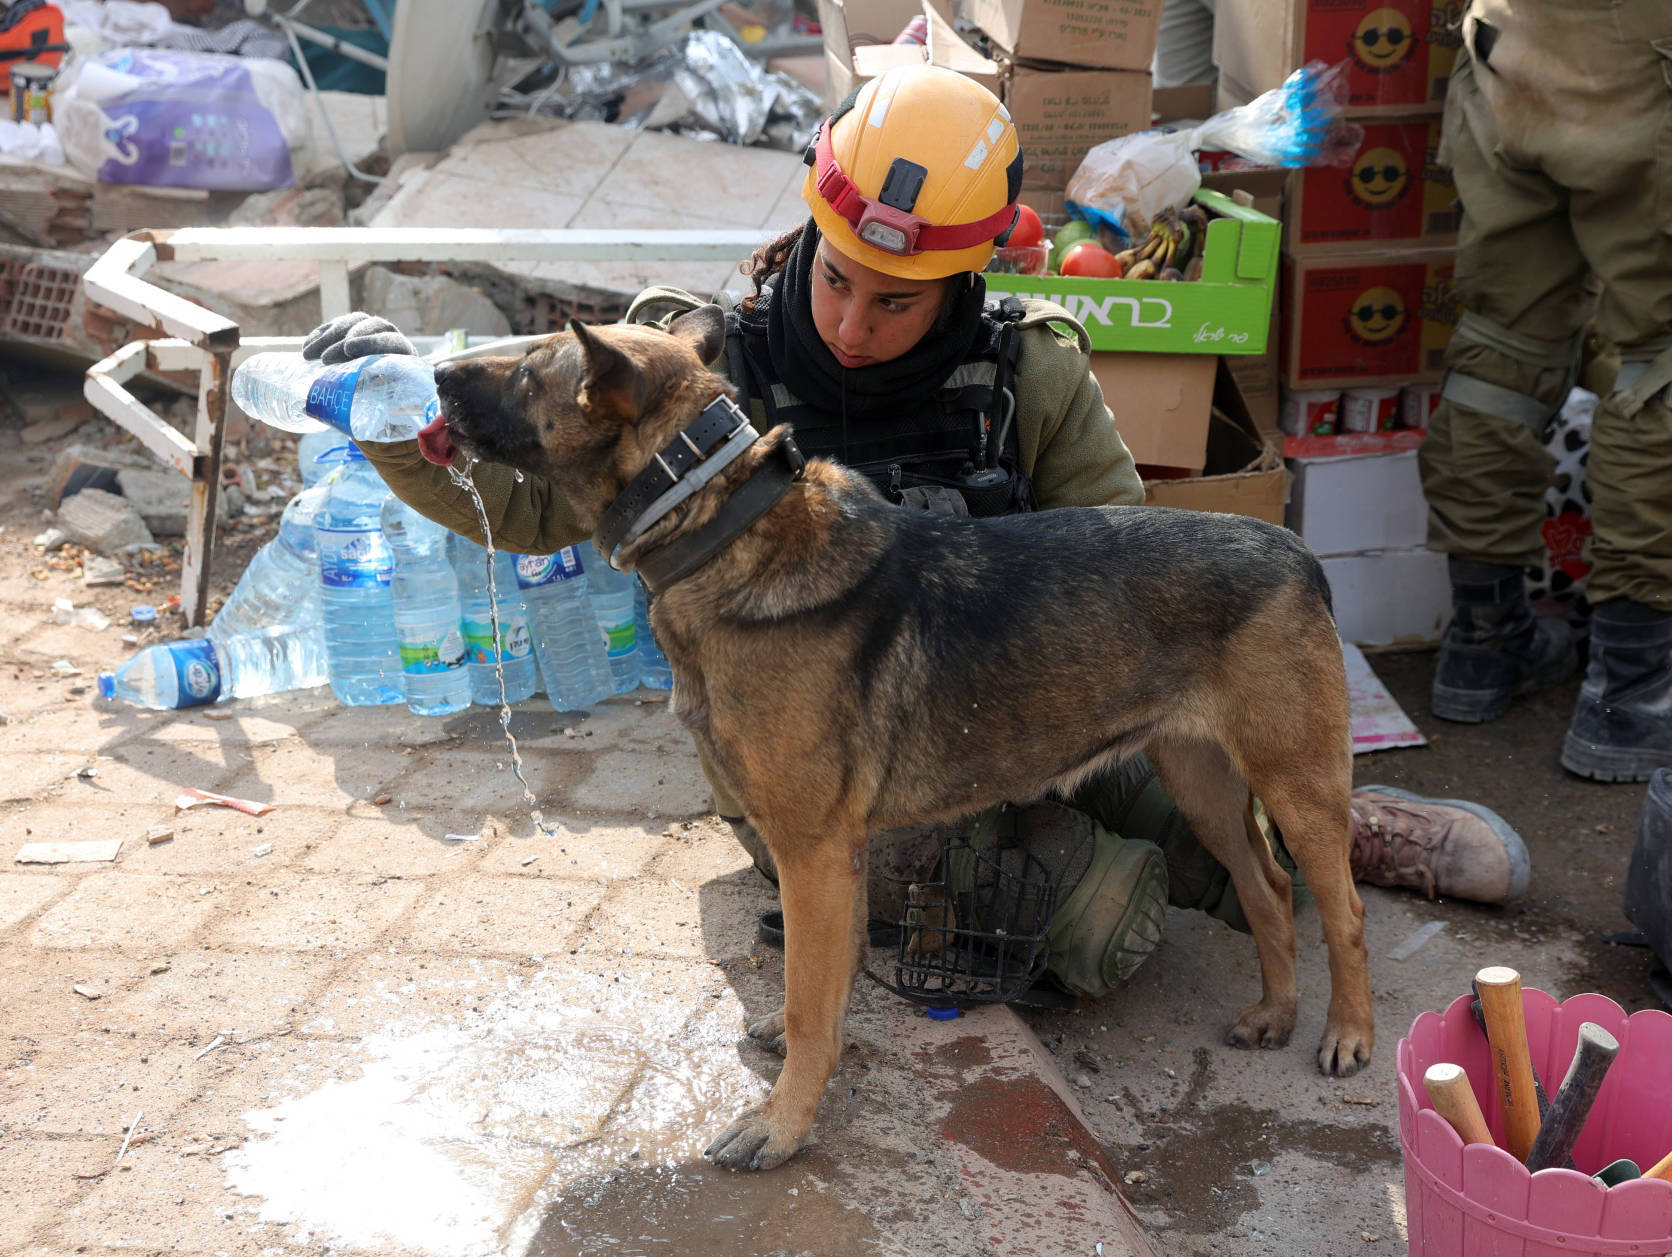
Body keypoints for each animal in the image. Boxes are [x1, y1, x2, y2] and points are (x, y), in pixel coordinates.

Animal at [428, 304, 1371, 1170]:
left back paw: (1348, 1033)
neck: (718, 517)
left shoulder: (812, 851)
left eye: (528, 370)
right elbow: (829, 977)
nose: (432, 376)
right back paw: (1277, 1011)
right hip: (1202, 779)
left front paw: (782, 1123)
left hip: (1300, 788)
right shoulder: (834, 857)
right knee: (1266, 885)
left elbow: (810, 997)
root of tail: (1294, 550)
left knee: (1343, 906)